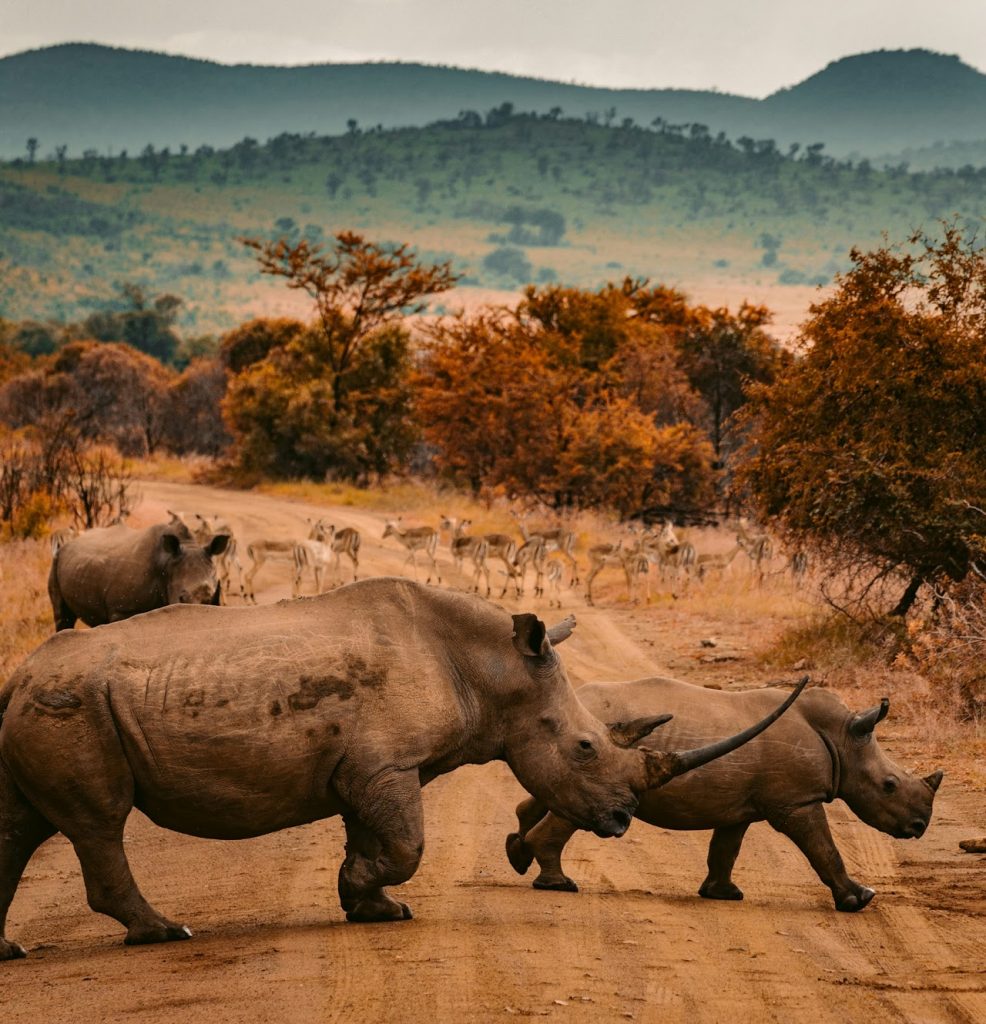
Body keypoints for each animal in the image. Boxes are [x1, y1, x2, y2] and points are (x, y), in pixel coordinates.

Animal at [0, 580, 804, 959]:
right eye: (584, 748)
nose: (620, 819)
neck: (491, 668)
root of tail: (19, 673)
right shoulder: (384, 763)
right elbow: (407, 844)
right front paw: (371, 898)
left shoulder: (366, 766)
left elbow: (374, 838)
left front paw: (369, 907)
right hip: (73, 704)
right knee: (99, 823)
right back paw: (166, 934)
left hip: (51, 701)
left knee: (20, 829)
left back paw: (11, 950)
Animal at [48, 521, 230, 630]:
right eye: (181, 598)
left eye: (213, 599)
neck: (167, 564)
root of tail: (70, 542)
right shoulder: (121, 610)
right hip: (57, 560)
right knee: (63, 617)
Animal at [506, 675, 942, 912]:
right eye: (888, 786)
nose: (919, 826)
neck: (842, 738)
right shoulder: (796, 802)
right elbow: (824, 849)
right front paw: (859, 899)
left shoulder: (740, 806)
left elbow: (726, 849)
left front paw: (723, 895)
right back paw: (559, 884)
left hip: (577, 745)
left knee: (549, 794)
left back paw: (519, 855)